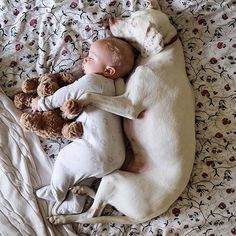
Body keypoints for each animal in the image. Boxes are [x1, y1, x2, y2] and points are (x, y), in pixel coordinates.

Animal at [48, 6, 195, 225]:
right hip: (116, 177)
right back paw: (82, 188)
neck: (161, 54)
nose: (110, 19)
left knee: (92, 214)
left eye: (133, 24)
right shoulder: (123, 92)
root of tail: (146, 217)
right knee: (100, 205)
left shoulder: (129, 106)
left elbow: (90, 94)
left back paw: (62, 218)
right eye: (132, 13)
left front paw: (72, 107)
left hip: (115, 179)